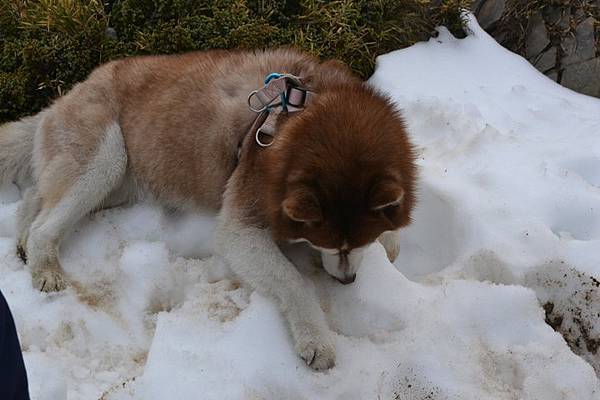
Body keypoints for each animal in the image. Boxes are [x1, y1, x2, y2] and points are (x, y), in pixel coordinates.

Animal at [0, 48, 414, 370]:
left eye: (356, 245)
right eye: (327, 245)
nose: (347, 281)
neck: (300, 115)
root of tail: (68, 93)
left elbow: (393, 237)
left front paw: (389, 241)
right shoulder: (241, 226)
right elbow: (293, 282)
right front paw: (316, 339)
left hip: (121, 181)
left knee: (36, 196)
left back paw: (23, 239)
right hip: (106, 158)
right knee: (46, 223)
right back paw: (44, 266)